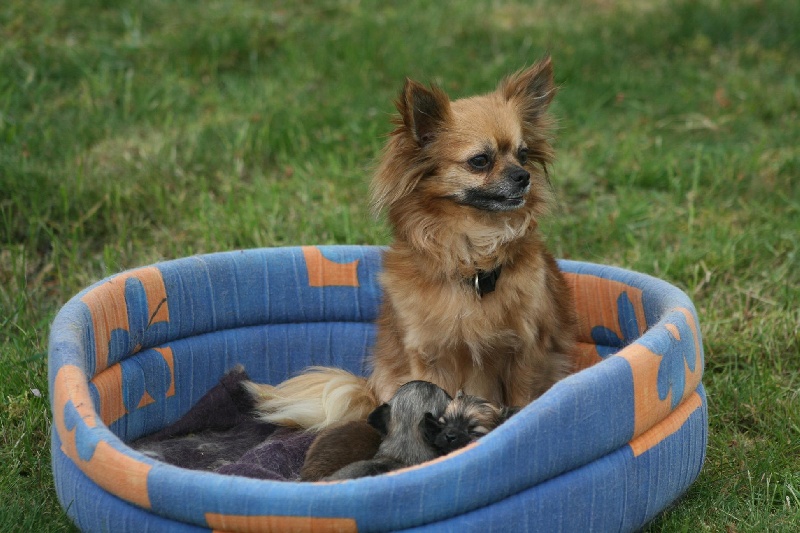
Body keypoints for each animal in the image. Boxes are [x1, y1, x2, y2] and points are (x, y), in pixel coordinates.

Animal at [245, 55, 576, 430]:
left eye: (523, 154)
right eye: (480, 161)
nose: (524, 176)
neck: (473, 257)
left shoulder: (524, 353)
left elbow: (523, 401)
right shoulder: (431, 358)